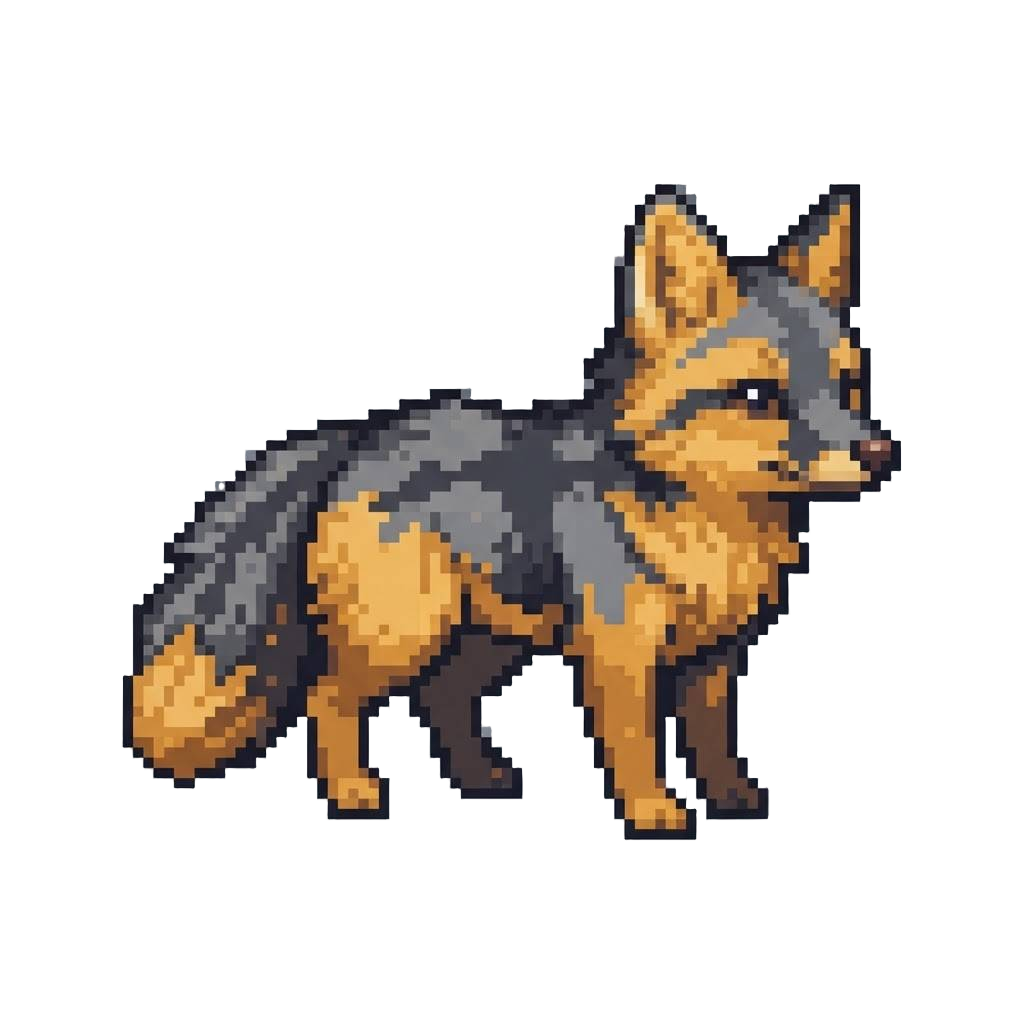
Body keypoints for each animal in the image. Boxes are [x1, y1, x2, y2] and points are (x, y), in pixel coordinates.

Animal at [120, 180, 900, 840]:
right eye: (757, 395)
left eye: (850, 386)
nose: (878, 453)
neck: (708, 532)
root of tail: (359, 434)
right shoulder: (622, 655)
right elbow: (638, 745)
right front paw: (653, 812)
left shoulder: (715, 663)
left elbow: (713, 743)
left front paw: (733, 800)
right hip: (405, 636)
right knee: (329, 698)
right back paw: (351, 794)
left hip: (487, 641)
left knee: (438, 702)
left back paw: (478, 782)